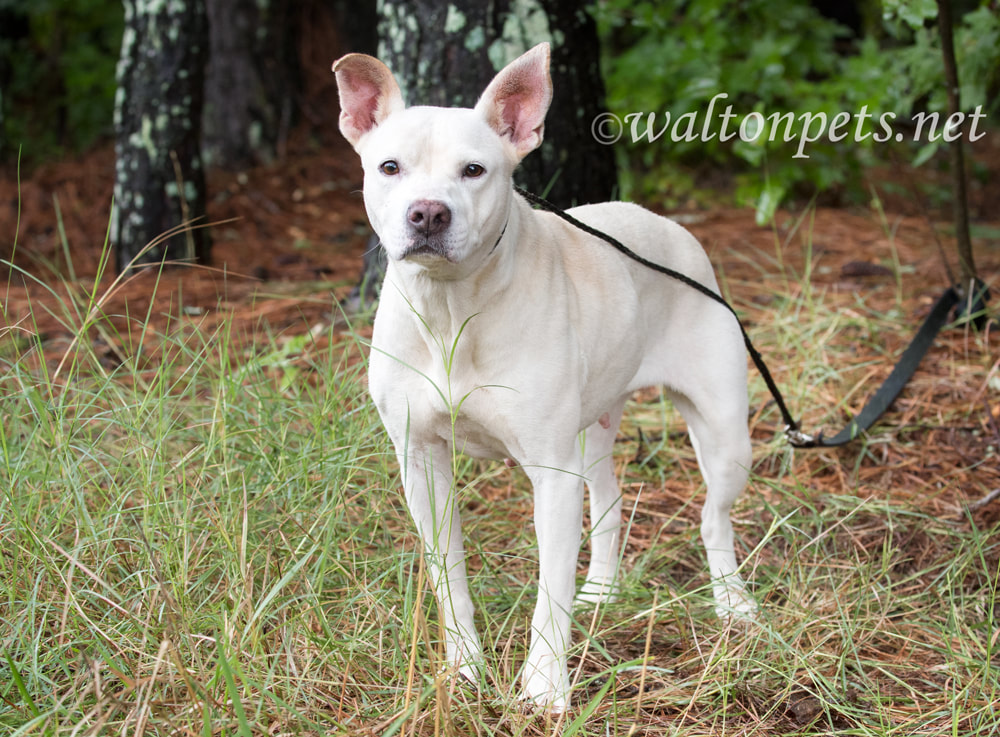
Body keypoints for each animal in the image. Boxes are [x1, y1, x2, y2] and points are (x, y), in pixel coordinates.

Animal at [332, 43, 752, 712]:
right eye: (389, 167)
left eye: (474, 170)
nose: (428, 213)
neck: (452, 309)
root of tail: (668, 227)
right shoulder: (421, 462)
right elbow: (449, 577)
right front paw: (464, 671)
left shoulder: (551, 476)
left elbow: (549, 593)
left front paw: (545, 687)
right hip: (593, 431)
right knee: (608, 501)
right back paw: (603, 592)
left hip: (725, 434)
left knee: (714, 517)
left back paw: (733, 604)